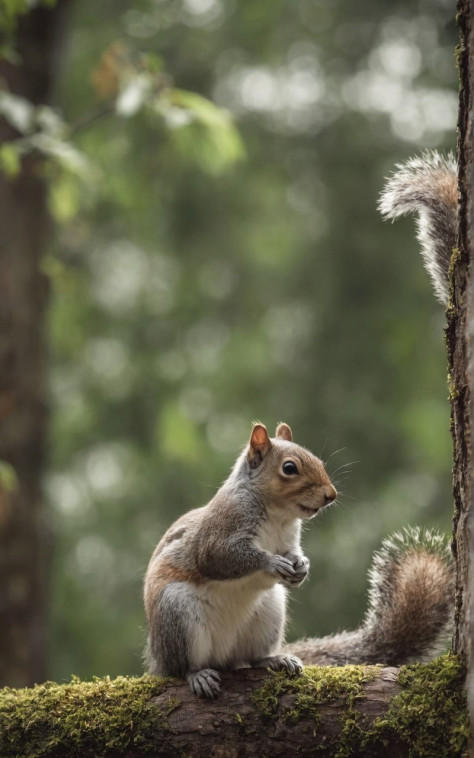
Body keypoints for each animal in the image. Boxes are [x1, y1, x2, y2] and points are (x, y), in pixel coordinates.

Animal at [143, 424, 336, 696]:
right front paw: (272, 562)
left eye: (319, 461)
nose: (331, 495)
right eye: (289, 468)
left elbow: (293, 553)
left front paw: (302, 566)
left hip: (269, 613)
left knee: (252, 658)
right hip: (177, 614)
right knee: (182, 667)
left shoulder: (288, 541)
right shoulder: (221, 532)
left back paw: (275, 660)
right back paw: (197, 675)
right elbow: (220, 558)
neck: (278, 515)